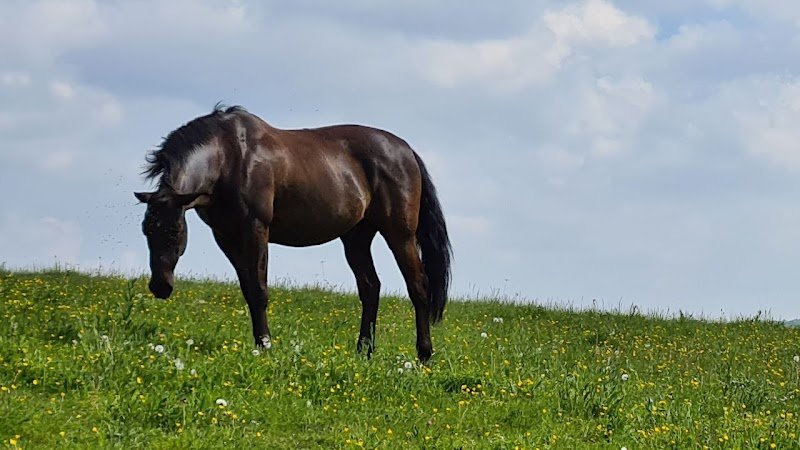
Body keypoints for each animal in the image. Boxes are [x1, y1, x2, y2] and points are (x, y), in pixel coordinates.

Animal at [134, 105, 452, 361]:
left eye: (176, 230)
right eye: (146, 230)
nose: (160, 286)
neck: (229, 157)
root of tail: (406, 151)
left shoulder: (256, 230)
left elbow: (259, 290)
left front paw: (265, 346)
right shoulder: (226, 237)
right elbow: (248, 290)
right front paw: (259, 343)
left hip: (400, 235)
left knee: (418, 287)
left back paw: (424, 353)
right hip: (356, 237)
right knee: (370, 288)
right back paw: (364, 351)